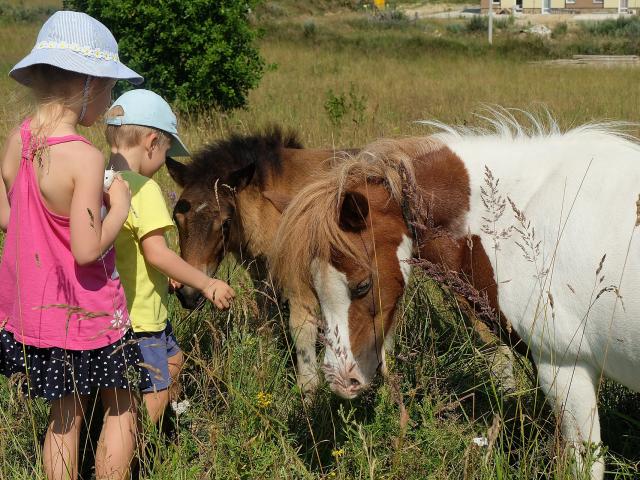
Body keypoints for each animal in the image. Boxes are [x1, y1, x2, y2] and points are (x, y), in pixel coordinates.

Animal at [165, 128, 356, 394]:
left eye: (226, 222)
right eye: (176, 218)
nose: (188, 294)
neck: (270, 208)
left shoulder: (300, 282)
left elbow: (302, 332)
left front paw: (308, 394)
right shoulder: (262, 277)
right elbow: (268, 325)